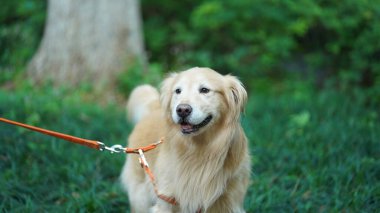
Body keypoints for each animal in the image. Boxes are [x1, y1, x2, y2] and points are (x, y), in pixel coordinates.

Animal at [121, 67, 251, 212]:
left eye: (204, 90)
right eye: (178, 91)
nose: (182, 110)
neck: (198, 150)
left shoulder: (230, 201)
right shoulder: (166, 199)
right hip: (140, 196)